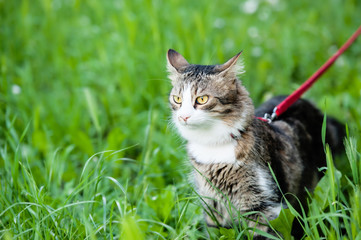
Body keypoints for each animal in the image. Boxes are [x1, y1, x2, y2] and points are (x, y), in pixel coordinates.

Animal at [165, 48, 344, 238]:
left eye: (202, 99)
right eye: (177, 99)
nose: (183, 117)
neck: (213, 146)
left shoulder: (262, 206)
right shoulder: (212, 205)